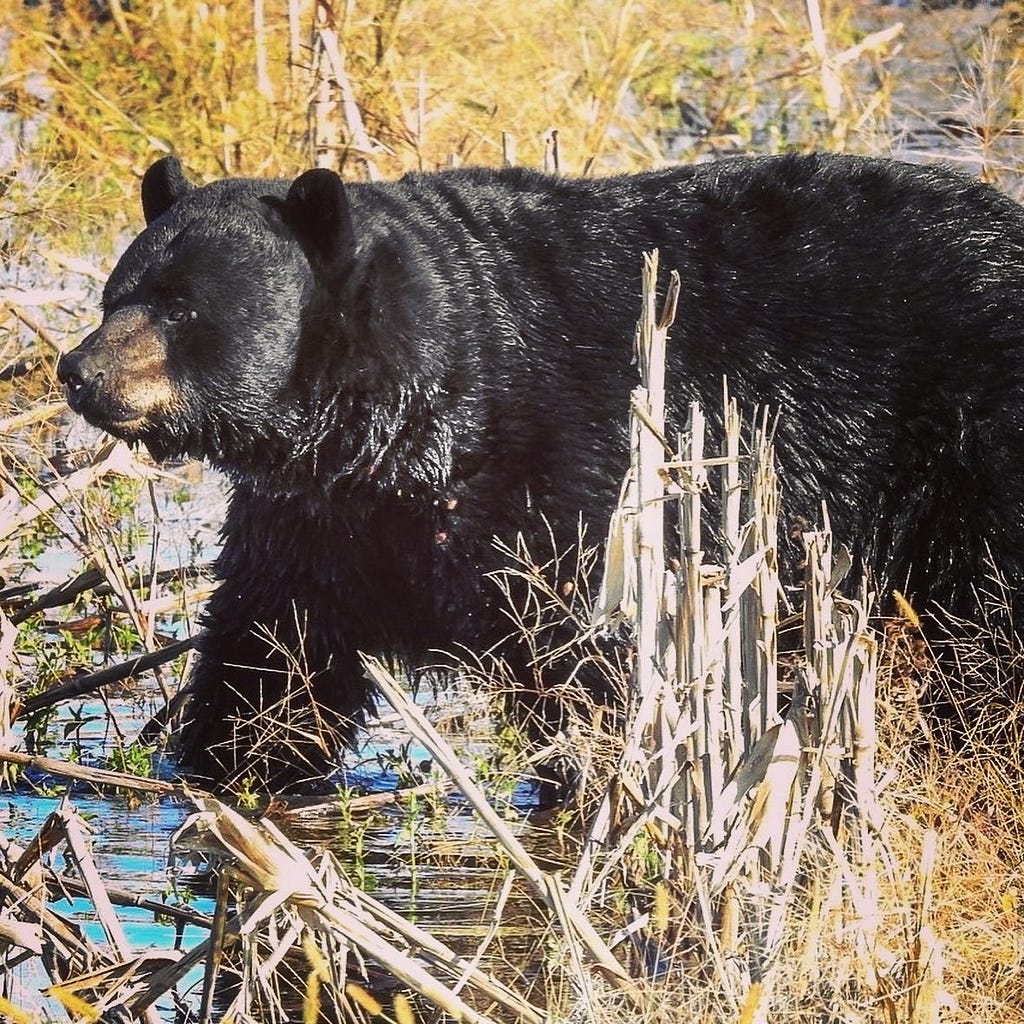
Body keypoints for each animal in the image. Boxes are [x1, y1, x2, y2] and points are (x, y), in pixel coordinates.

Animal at [58, 153, 1024, 790]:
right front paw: (221, 768)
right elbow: (271, 655)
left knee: (988, 628)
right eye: (116, 293)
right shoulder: (322, 523)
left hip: (978, 458)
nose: (79, 370)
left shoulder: (581, 468)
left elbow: (598, 659)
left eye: (183, 309)